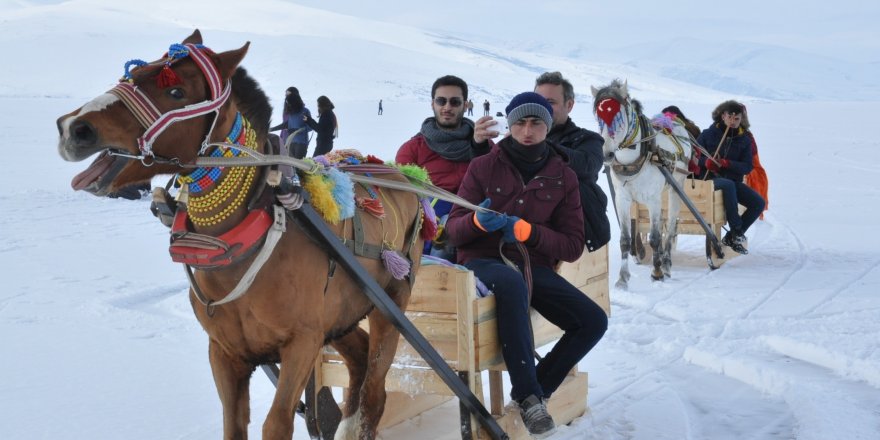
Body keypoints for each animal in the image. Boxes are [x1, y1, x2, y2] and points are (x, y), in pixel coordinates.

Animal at [55, 29, 426, 438]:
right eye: (133, 74)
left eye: (175, 92)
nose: (74, 127)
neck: (240, 245)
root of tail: (402, 173)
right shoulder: (225, 351)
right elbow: (233, 425)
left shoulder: (302, 343)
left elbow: (276, 424)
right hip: (341, 315)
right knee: (359, 361)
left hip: (391, 304)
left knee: (375, 391)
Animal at [592, 81, 696, 288]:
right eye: (598, 117)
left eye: (619, 116)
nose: (606, 154)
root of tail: (674, 121)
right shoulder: (622, 199)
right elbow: (625, 239)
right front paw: (622, 278)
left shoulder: (653, 200)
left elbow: (655, 238)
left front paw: (657, 273)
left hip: (676, 187)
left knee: (670, 226)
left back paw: (666, 264)